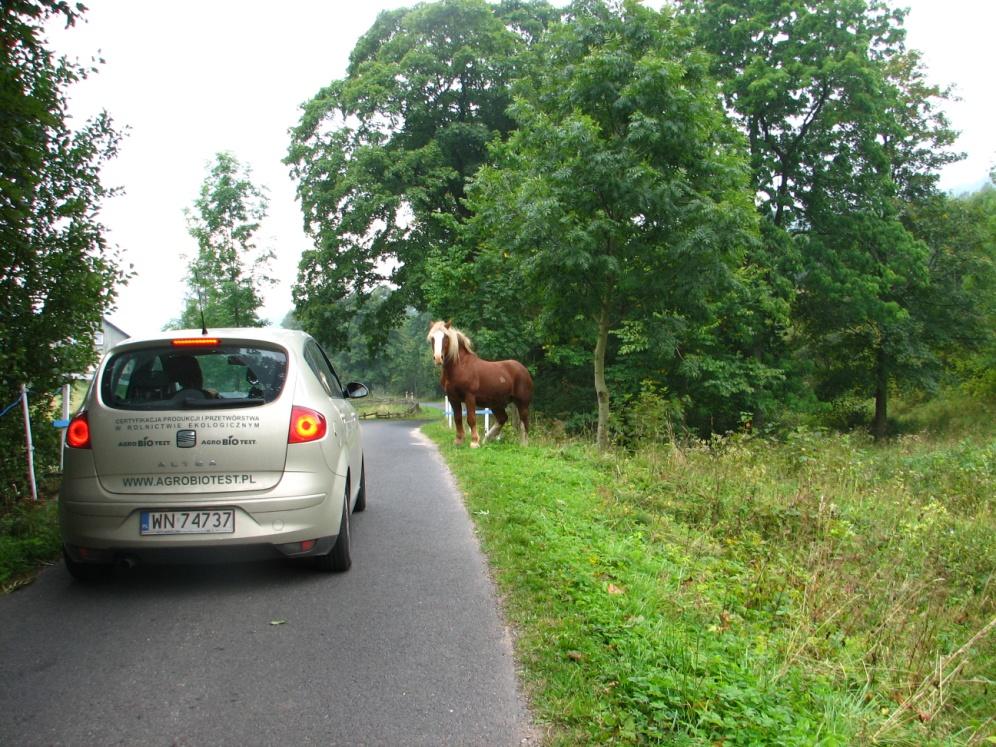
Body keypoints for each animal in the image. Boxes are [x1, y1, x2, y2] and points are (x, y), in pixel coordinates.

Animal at [430, 322, 536, 450]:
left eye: (445, 337)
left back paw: (523, 445)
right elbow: (458, 419)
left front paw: (474, 442)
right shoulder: (452, 398)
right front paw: (459, 441)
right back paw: (487, 439)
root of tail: (524, 370)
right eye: (432, 338)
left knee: (524, 422)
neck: (460, 366)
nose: (438, 358)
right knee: (503, 418)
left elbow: (471, 418)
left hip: (522, 403)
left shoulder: (469, 397)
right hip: (496, 404)